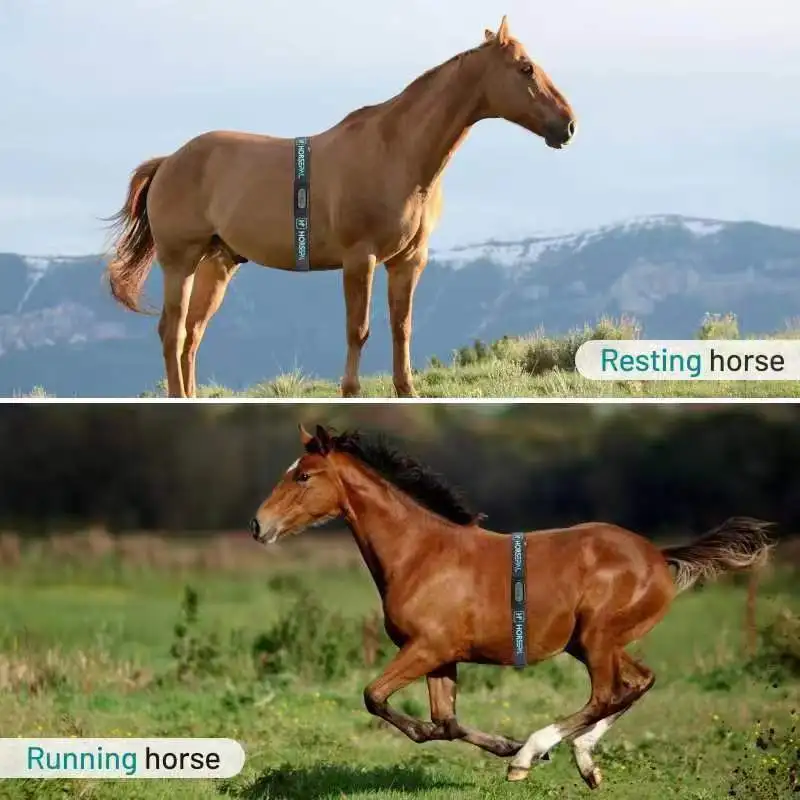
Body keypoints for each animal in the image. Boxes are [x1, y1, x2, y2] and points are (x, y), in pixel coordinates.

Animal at [105, 16, 576, 398]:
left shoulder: (409, 261)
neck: (396, 152)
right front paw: (350, 390)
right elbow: (359, 329)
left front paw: (406, 391)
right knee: (172, 332)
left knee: (191, 335)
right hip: (180, 262)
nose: (568, 125)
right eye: (525, 68)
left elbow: (401, 327)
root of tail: (169, 161)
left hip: (216, 263)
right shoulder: (359, 258)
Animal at [249, 424, 774, 790]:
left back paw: (535, 754)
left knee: (606, 694)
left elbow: (377, 698)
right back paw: (582, 762)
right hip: (593, 642)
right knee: (639, 682)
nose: (258, 526)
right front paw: (506, 743)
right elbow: (444, 722)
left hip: (596, 637)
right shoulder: (443, 656)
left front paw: (516, 750)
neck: (420, 553)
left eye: (303, 476)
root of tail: (660, 558)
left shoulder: (425, 648)